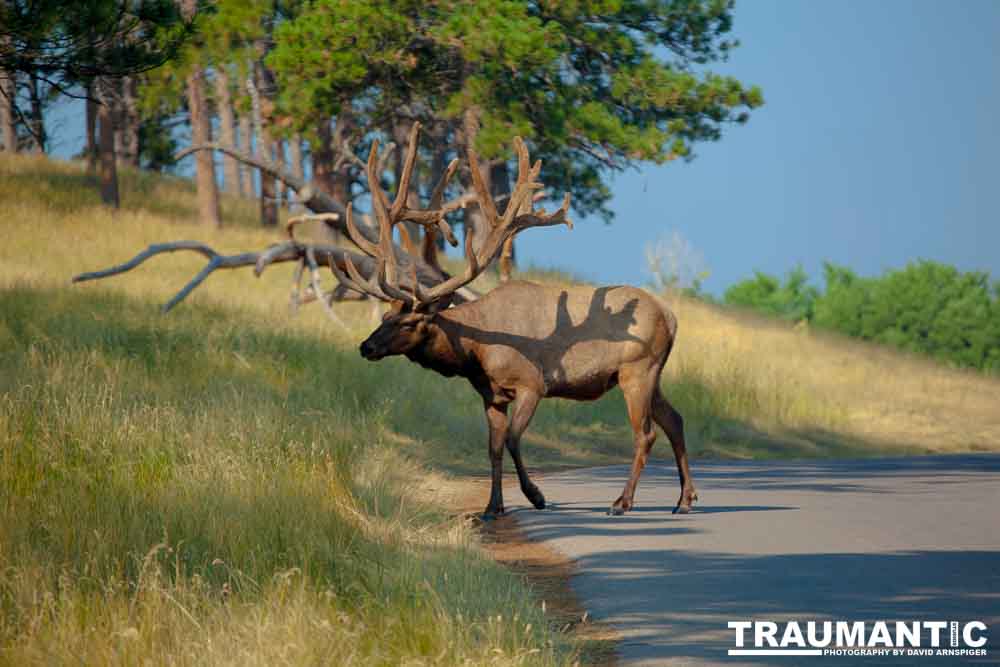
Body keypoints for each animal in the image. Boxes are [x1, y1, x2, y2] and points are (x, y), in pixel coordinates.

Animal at [72, 122, 696, 520]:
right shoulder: (489, 394)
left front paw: (538, 497)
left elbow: (517, 443)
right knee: (676, 419)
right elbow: (493, 449)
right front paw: (492, 508)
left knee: (644, 431)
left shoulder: (530, 382)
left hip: (635, 371)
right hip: (655, 373)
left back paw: (624, 502)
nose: (365, 347)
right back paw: (684, 498)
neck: (474, 352)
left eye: (406, 322)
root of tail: (671, 315)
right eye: (385, 316)